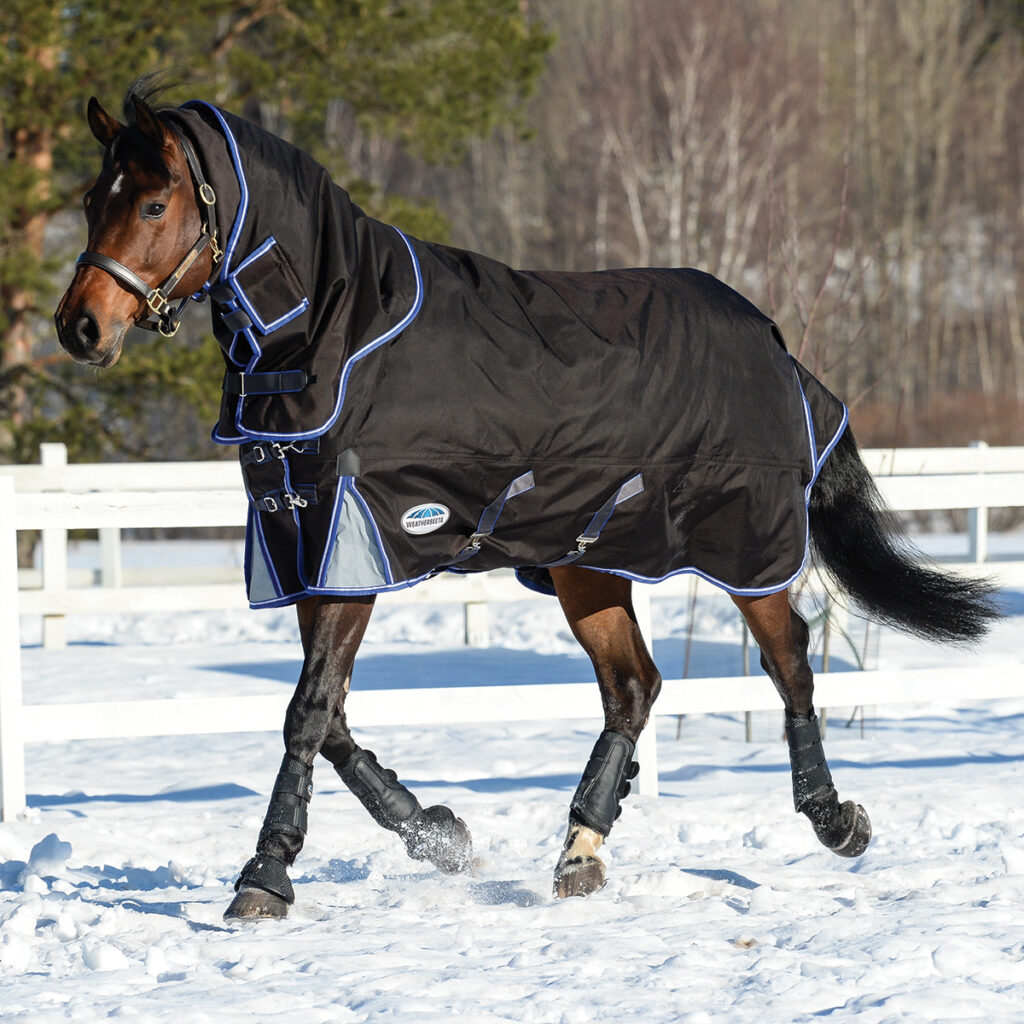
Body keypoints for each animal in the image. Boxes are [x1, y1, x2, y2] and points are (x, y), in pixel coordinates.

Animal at [54, 84, 999, 920]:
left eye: (153, 203)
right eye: (93, 200)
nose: (80, 327)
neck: (339, 334)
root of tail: (772, 340)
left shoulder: (359, 548)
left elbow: (307, 712)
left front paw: (265, 877)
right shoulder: (308, 550)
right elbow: (332, 716)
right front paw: (438, 834)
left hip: (747, 547)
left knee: (790, 661)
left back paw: (837, 822)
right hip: (591, 562)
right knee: (634, 687)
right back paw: (581, 850)